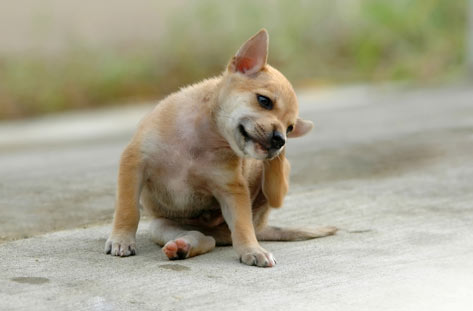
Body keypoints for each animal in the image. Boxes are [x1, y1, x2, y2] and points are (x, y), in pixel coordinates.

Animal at [104, 29, 334, 268]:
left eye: (290, 128)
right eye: (264, 101)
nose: (281, 140)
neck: (203, 137)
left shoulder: (231, 191)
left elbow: (242, 226)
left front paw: (252, 250)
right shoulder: (134, 162)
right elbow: (128, 209)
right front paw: (122, 238)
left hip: (274, 186)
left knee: (213, 239)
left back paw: (185, 247)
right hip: (161, 225)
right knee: (202, 236)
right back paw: (182, 246)